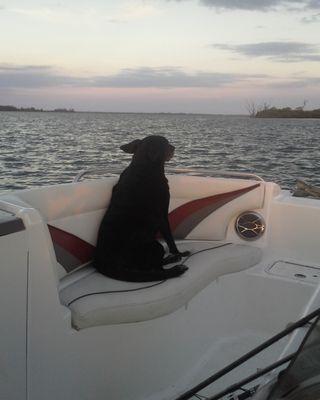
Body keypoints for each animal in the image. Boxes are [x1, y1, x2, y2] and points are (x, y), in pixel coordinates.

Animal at [94, 136, 189, 282]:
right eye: (165, 143)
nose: (174, 147)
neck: (143, 167)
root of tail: (106, 264)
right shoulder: (162, 216)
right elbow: (170, 239)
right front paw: (178, 252)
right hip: (156, 246)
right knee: (157, 270)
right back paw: (175, 265)